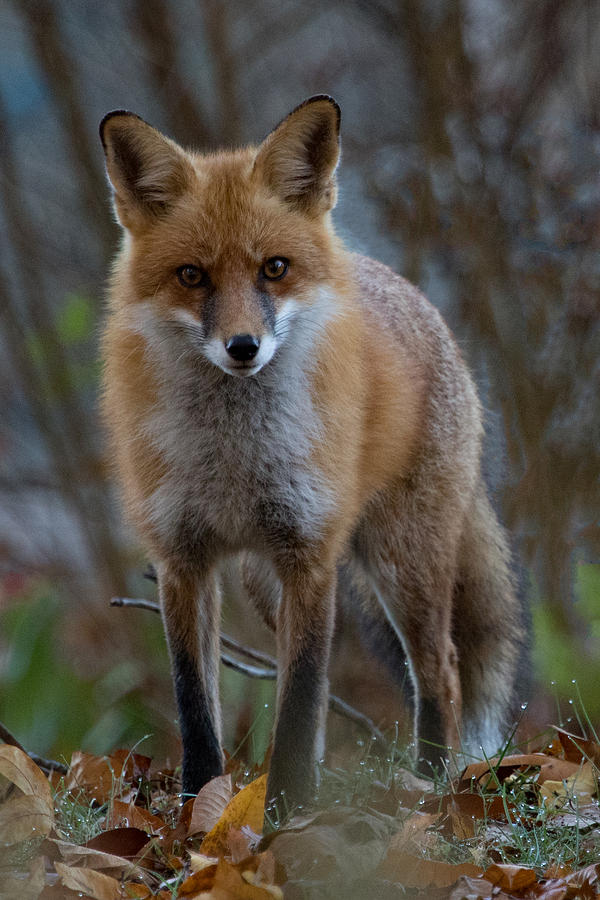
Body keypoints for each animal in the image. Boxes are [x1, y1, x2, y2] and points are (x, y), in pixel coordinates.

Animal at [101, 95, 528, 812]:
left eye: (274, 268)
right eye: (192, 276)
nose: (243, 347)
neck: (234, 457)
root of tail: (401, 286)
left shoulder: (310, 554)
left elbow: (298, 705)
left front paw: (286, 818)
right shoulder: (182, 560)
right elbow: (197, 705)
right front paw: (200, 812)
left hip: (403, 560)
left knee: (440, 669)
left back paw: (432, 783)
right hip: (264, 583)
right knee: (332, 686)